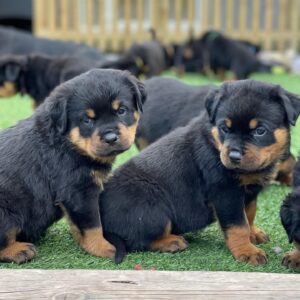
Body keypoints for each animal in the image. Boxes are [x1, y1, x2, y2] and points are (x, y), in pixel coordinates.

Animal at [0, 68, 146, 262]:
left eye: (121, 111)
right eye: (87, 120)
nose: (110, 138)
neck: (68, 142)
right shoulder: (78, 191)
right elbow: (93, 225)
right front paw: (104, 247)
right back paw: (19, 250)